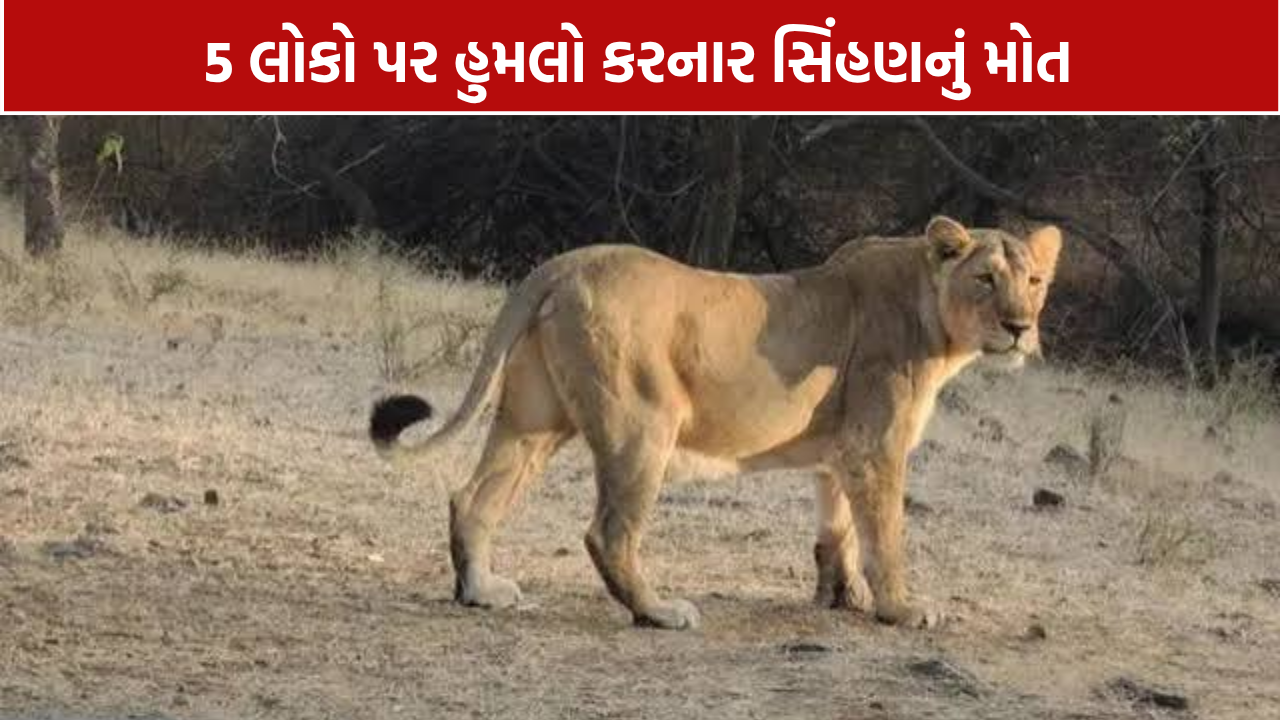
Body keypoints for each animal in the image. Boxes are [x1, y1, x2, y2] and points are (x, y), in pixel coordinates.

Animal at [370, 216, 1061, 630]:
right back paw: (658, 611)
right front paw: (900, 608)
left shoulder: (841, 451)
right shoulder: (877, 446)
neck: (935, 319)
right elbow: (884, 535)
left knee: (471, 498)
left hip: (533, 420)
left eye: (1033, 281)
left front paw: (841, 598)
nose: (1020, 327)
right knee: (607, 532)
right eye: (985, 279)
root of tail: (566, 263)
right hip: (644, 424)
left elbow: (836, 530)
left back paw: (481, 590)